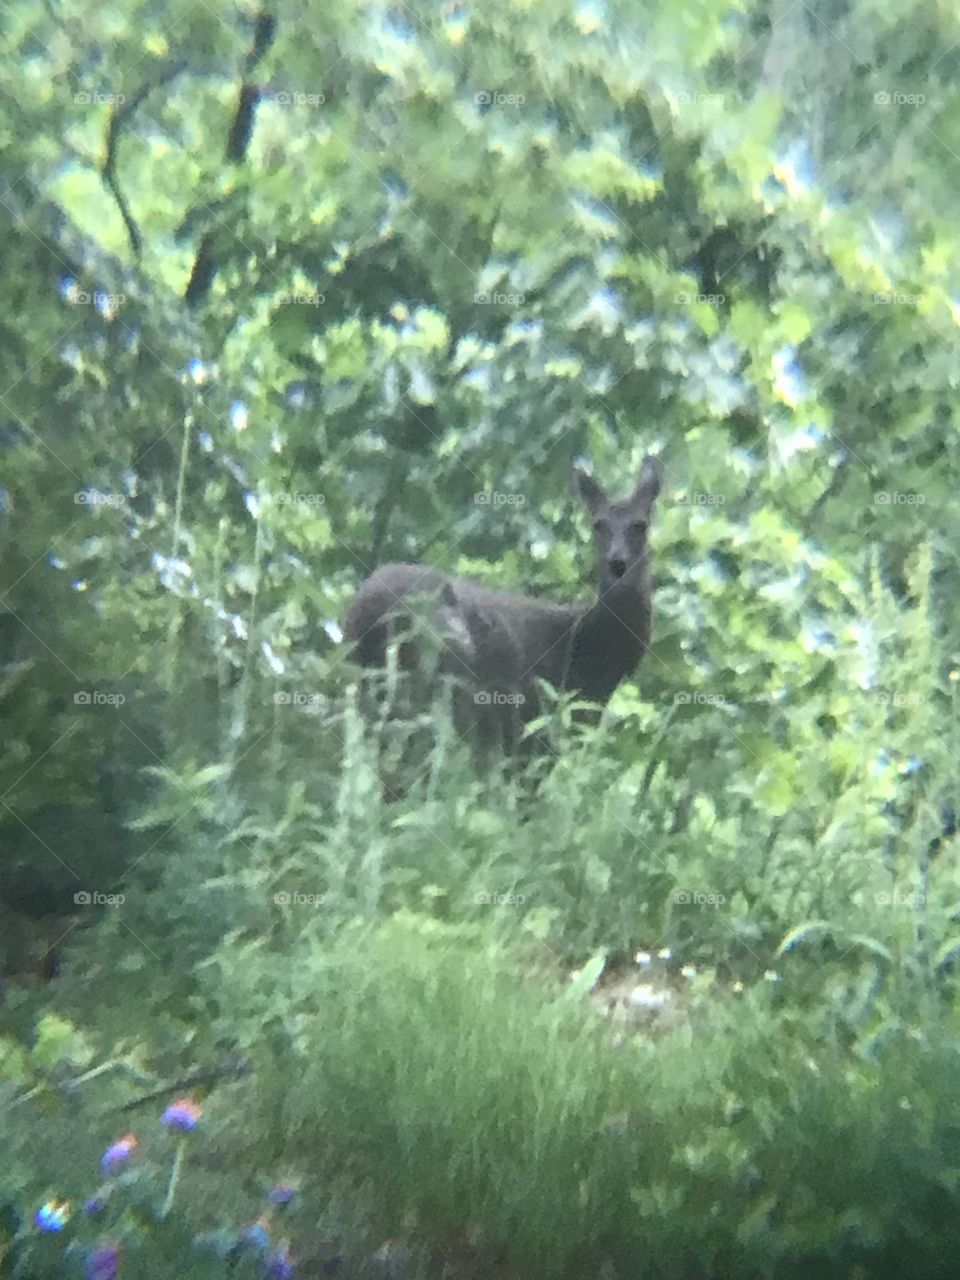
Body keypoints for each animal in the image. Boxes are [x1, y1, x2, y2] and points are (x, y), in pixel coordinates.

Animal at [344, 455, 661, 781]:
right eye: (598, 525)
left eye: (640, 525)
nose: (617, 563)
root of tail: (370, 609)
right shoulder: (532, 728)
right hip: (445, 670)